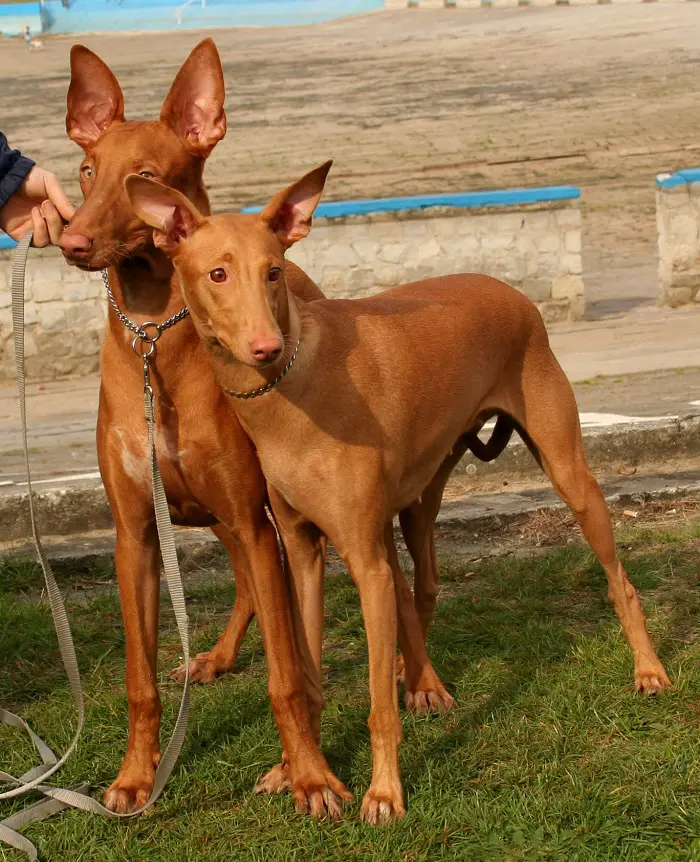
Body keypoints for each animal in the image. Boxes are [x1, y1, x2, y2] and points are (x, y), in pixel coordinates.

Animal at [126, 159, 672, 828]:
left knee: (618, 579)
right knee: (425, 588)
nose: (264, 348)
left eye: (274, 270)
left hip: (568, 474)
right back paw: (417, 677)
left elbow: (376, 705)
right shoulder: (302, 552)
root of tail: (511, 291)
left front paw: (383, 792)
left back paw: (647, 669)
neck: (293, 387)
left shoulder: (364, 561)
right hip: (416, 503)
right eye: (217, 274)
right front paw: (301, 773)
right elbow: (307, 674)